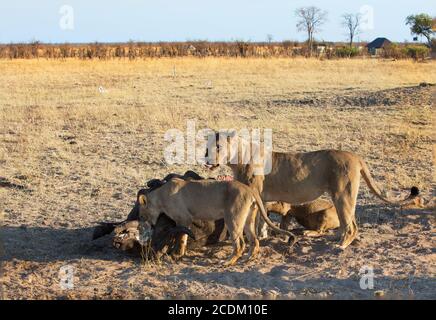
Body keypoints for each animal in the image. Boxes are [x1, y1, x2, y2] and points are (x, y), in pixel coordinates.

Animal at [206, 131, 420, 249]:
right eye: (207, 147)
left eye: (218, 147)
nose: (206, 159)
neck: (237, 158)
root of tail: (355, 156)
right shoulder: (262, 197)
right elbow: (262, 220)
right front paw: (264, 235)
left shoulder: (255, 194)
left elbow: (256, 219)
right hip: (345, 197)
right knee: (351, 223)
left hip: (342, 195)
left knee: (350, 226)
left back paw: (341, 246)